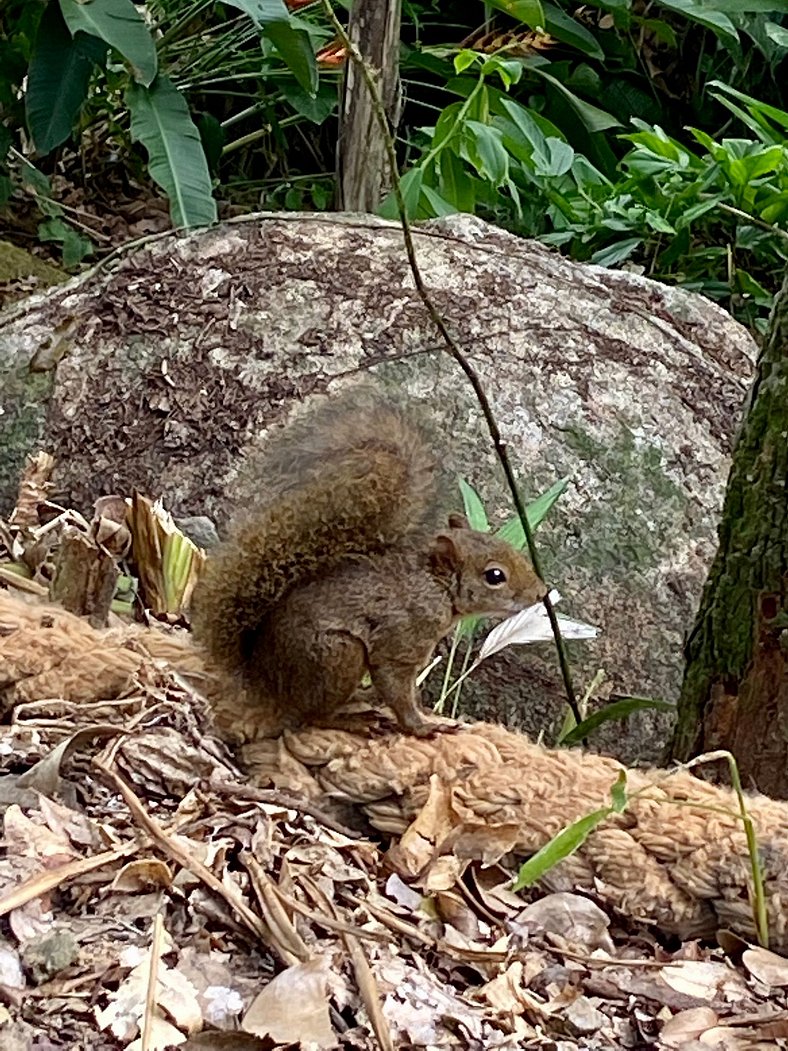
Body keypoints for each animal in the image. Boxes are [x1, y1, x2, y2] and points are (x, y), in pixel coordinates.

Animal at [191, 390, 550, 744]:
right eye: (495, 576)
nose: (541, 592)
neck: (434, 589)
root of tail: (260, 677)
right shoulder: (399, 643)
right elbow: (397, 689)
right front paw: (422, 727)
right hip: (337, 656)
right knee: (313, 716)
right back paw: (355, 721)